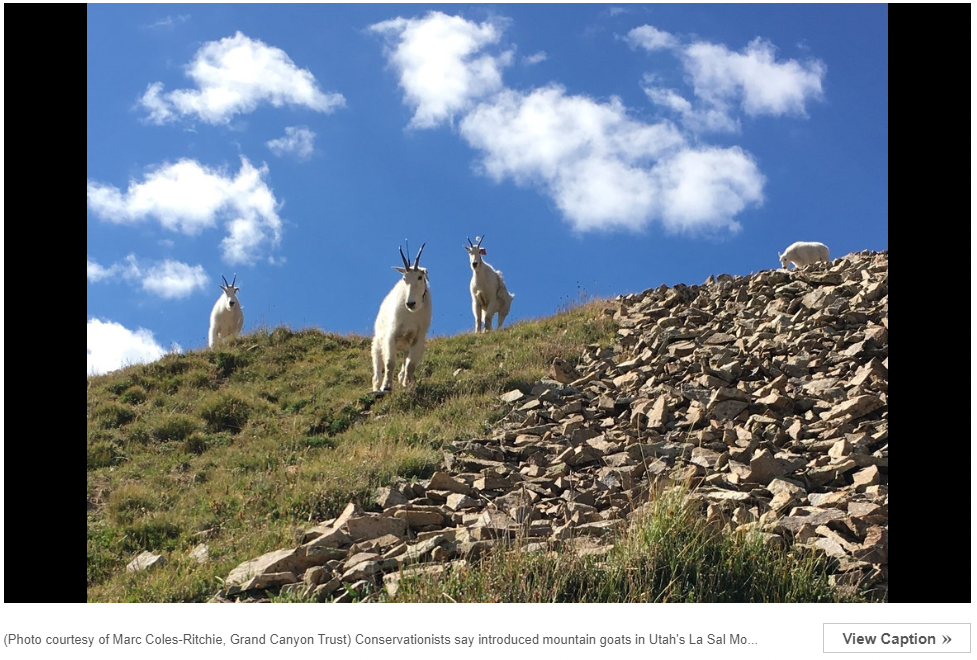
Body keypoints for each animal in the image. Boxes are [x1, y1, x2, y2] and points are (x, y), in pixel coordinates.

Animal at [372, 244, 432, 392]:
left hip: (406, 346)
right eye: (405, 278)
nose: (410, 303)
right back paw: (377, 388)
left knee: (403, 367)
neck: (411, 314)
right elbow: (389, 363)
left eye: (420, 277)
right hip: (378, 342)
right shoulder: (391, 335)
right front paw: (386, 386)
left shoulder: (418, 338)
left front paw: (408, 384)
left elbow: (410, 365)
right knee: (377, 371)